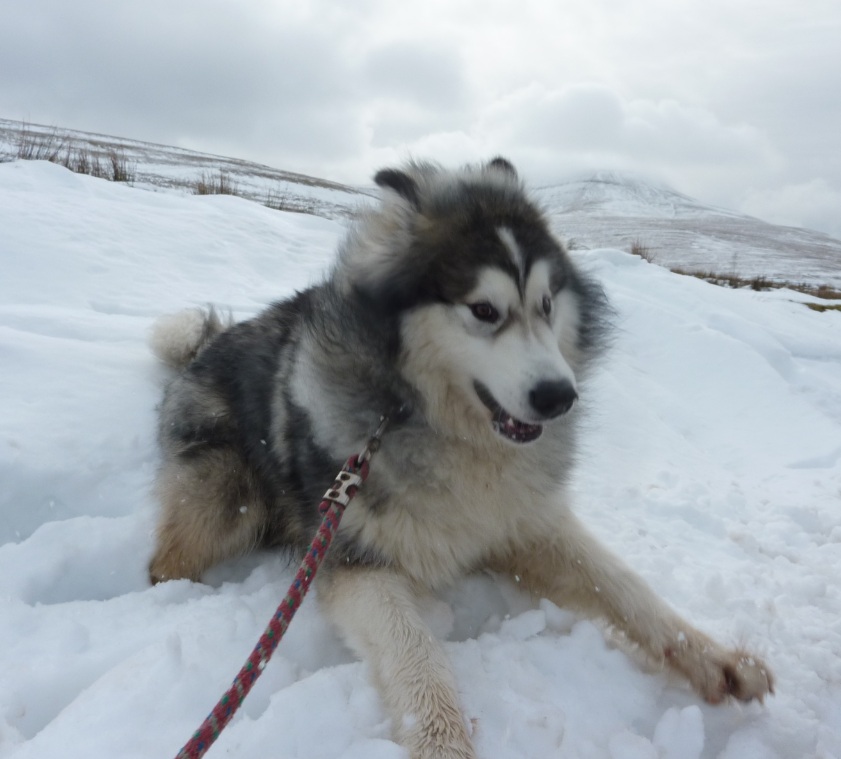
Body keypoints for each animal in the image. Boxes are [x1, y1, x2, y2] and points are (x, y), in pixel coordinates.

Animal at [148, 158, 773, 758]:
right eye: (484, 310)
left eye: (547, 305)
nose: (559, 397)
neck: (457, 436)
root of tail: (210, 342)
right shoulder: (353, 557)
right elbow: (415, 651)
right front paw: (442, 740)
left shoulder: (524, 519)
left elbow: (624, 587)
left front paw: (717, 659)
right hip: (224, 500)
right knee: (167, 563)